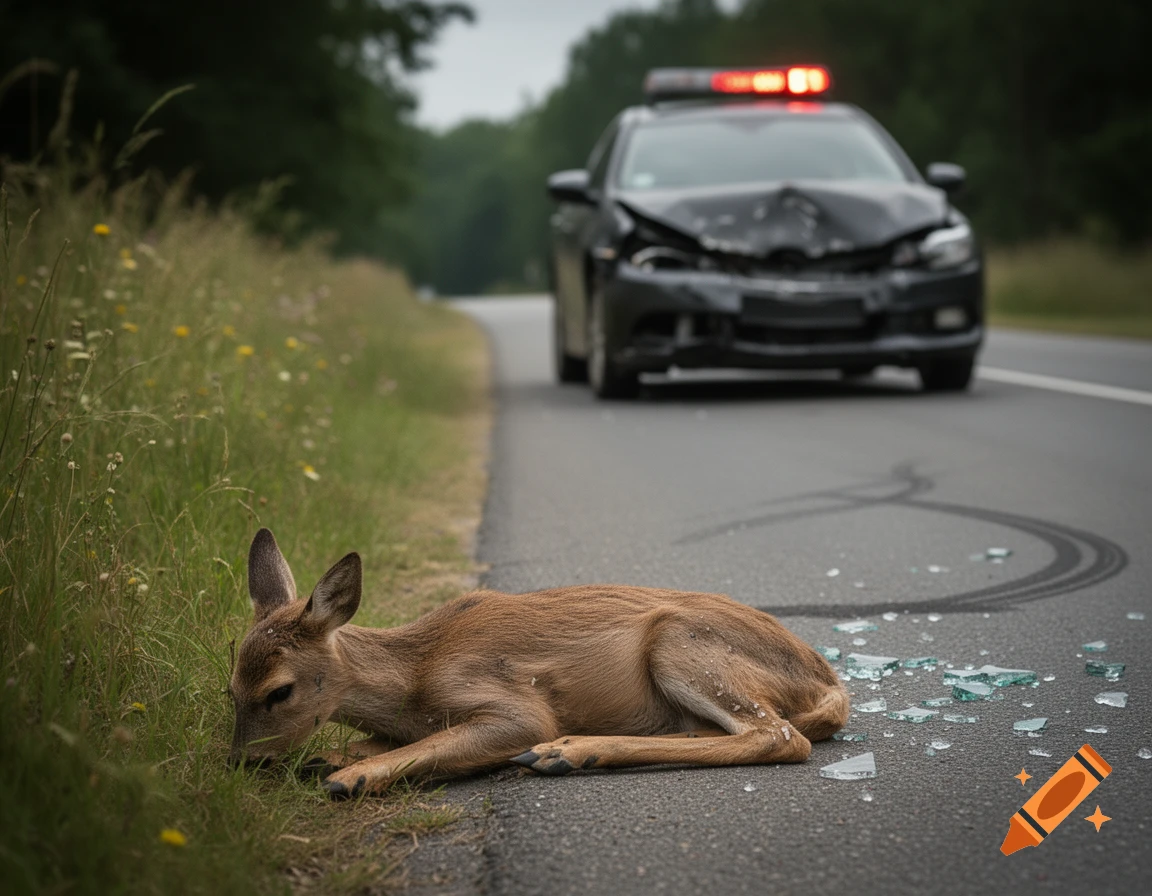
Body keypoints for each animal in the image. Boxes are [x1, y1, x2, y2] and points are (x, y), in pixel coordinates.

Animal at [229, 528, 849, 798]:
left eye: (279, 690)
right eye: (230, 689)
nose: (238, 761)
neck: (413, 677)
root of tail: (829, 682)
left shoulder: (508, 701)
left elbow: (439, 743)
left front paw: (349, 776)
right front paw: (330, 756)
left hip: (680, 643)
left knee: (778, 735)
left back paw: (565, 751)